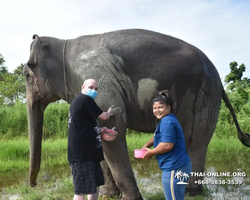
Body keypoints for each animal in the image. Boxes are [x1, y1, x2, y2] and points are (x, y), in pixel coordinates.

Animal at [23, 28, 248, 200]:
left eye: (26, 75)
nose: (33, 185)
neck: (63, 43)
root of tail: (218, 78)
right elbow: (100, 135)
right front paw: (107, 195)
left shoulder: (98, 78)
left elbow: (113, 131)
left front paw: (128, 198)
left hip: (202, 93)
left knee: (195, 141)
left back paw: (190, 192)